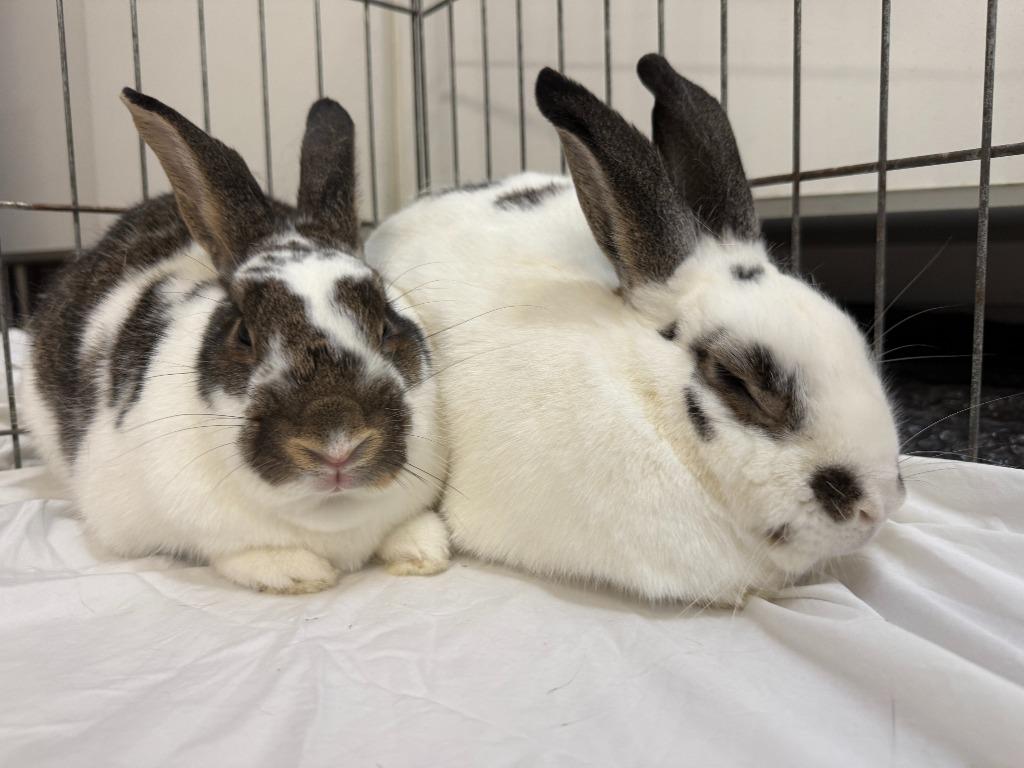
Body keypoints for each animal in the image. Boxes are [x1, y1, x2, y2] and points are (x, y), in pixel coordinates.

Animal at [19, 89, 450, 594]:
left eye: (385, 325)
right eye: (243, 335)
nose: (337, 445)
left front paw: (423, 550)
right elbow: (234, 551)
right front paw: (295, 572)